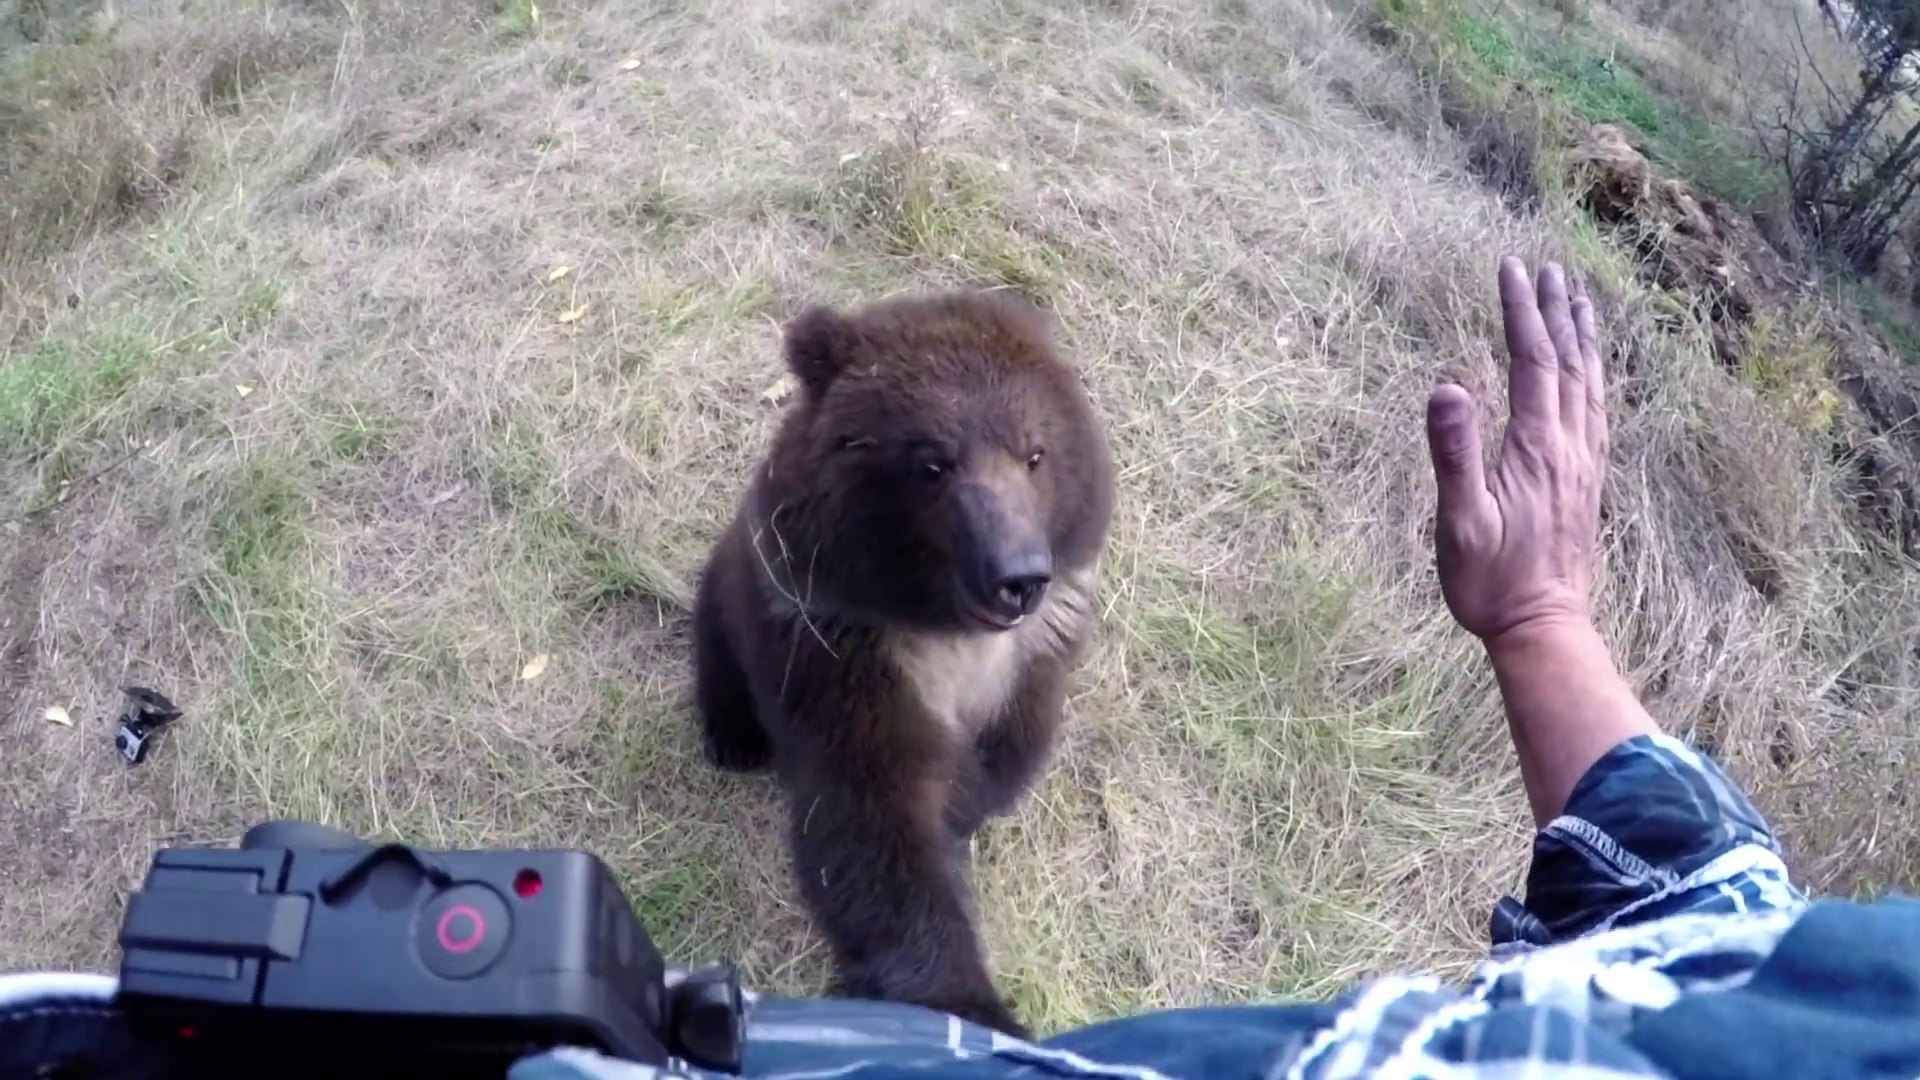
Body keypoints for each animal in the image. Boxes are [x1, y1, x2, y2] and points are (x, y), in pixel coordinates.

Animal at [690, 288, 1114, 1037]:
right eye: (933, 462)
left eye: (1034, 453)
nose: (1018, 577)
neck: (945, 630)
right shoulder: (848, 653)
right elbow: (876, 825)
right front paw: (968, 1000)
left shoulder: (1032, 658)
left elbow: (999, 763)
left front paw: (962, 811)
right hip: (737, 594)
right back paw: (734, 738)